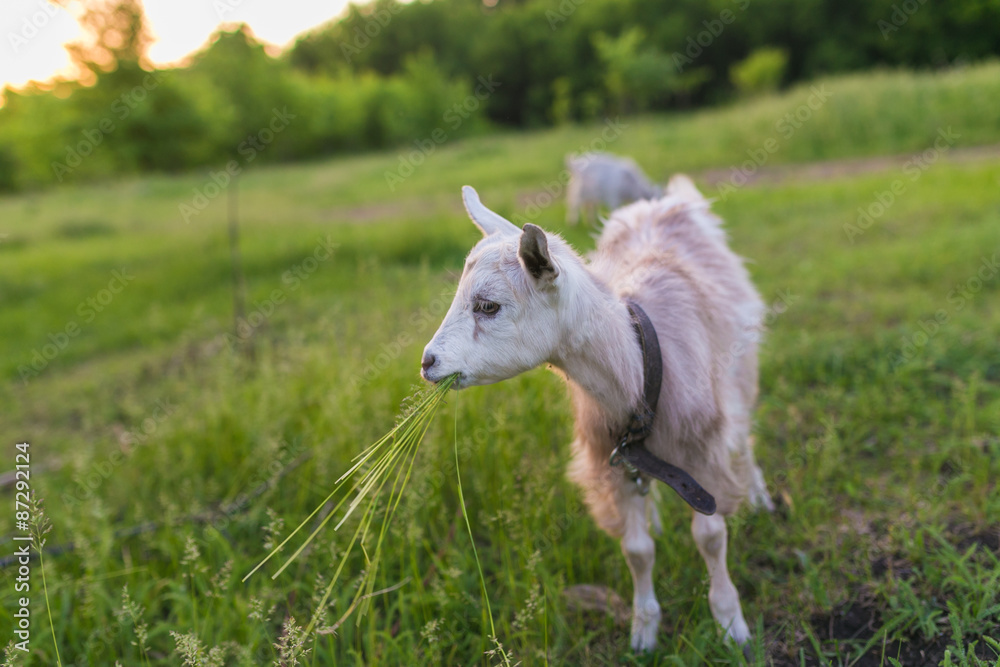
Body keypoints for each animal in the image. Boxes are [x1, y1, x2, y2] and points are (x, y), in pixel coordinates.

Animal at [421, 175, 773, 652]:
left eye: (488, 306)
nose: (428, 362)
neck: (638, 368)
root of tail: (661, 201)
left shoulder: (703, 450)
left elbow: (711, 536)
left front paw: (730, 624)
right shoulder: (611, 457)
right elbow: (637, 550)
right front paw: (644, 631)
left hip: (741, 366)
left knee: (745, 428)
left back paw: (759, 495)